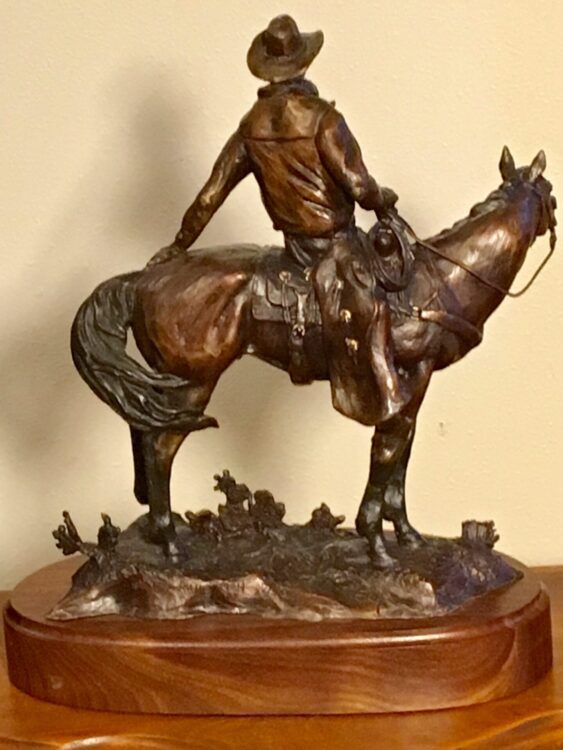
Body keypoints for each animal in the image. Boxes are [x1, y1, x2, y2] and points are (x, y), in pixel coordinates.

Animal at [71, 147, 560, 568]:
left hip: (166, 386)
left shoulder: (414, 385)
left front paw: (406, 534)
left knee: (142, 430)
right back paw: (171, 544)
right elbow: (388, 451)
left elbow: (402, 455)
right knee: (159, 449)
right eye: (552, 192)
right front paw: (376, 544)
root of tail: (141, 280)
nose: (556, 217)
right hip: (193, 385)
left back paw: (158, 532)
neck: (441, 279)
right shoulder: (406, 378)